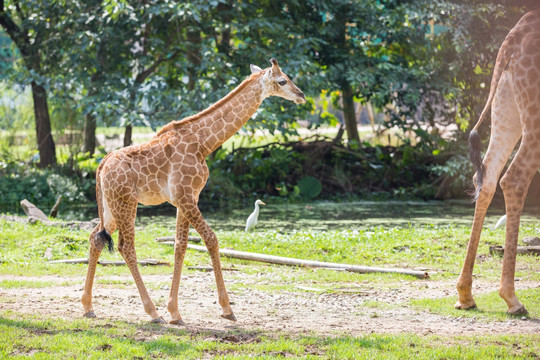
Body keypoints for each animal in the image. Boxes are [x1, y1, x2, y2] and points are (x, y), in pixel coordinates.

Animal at [82, 59, 306, 324]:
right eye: (282, 81)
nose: (301, 95)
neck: (204, 143)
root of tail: (101, 165)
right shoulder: (185, 196)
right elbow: (211, 239)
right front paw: (226, 309)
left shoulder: (187, 198)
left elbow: (180, 245)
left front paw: (175, 312)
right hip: (125, 202)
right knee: (126, 246)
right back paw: (152, 312)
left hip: (110, 206)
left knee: (95, 237)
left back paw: (88, 306)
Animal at [456, 9, 540, 316]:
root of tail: (513, 37)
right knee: (514, 178)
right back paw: (512, 299)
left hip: (506, 104)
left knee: (487, 176)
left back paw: (465, 295)